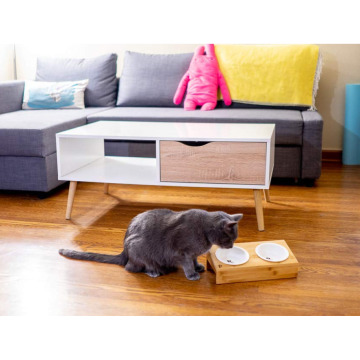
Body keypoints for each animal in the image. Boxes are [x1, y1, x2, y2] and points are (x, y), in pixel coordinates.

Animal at [59, 208, 243, 282]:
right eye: (230, 239)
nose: (231, 247)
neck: (205, 232)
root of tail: (124, 251)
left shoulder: (193, 253)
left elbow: (195, 259)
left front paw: (198, 267)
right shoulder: (182, 252)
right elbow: (187, 264)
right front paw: (192, 274)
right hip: (139, 248)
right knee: (132, 267)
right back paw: (154, 271)